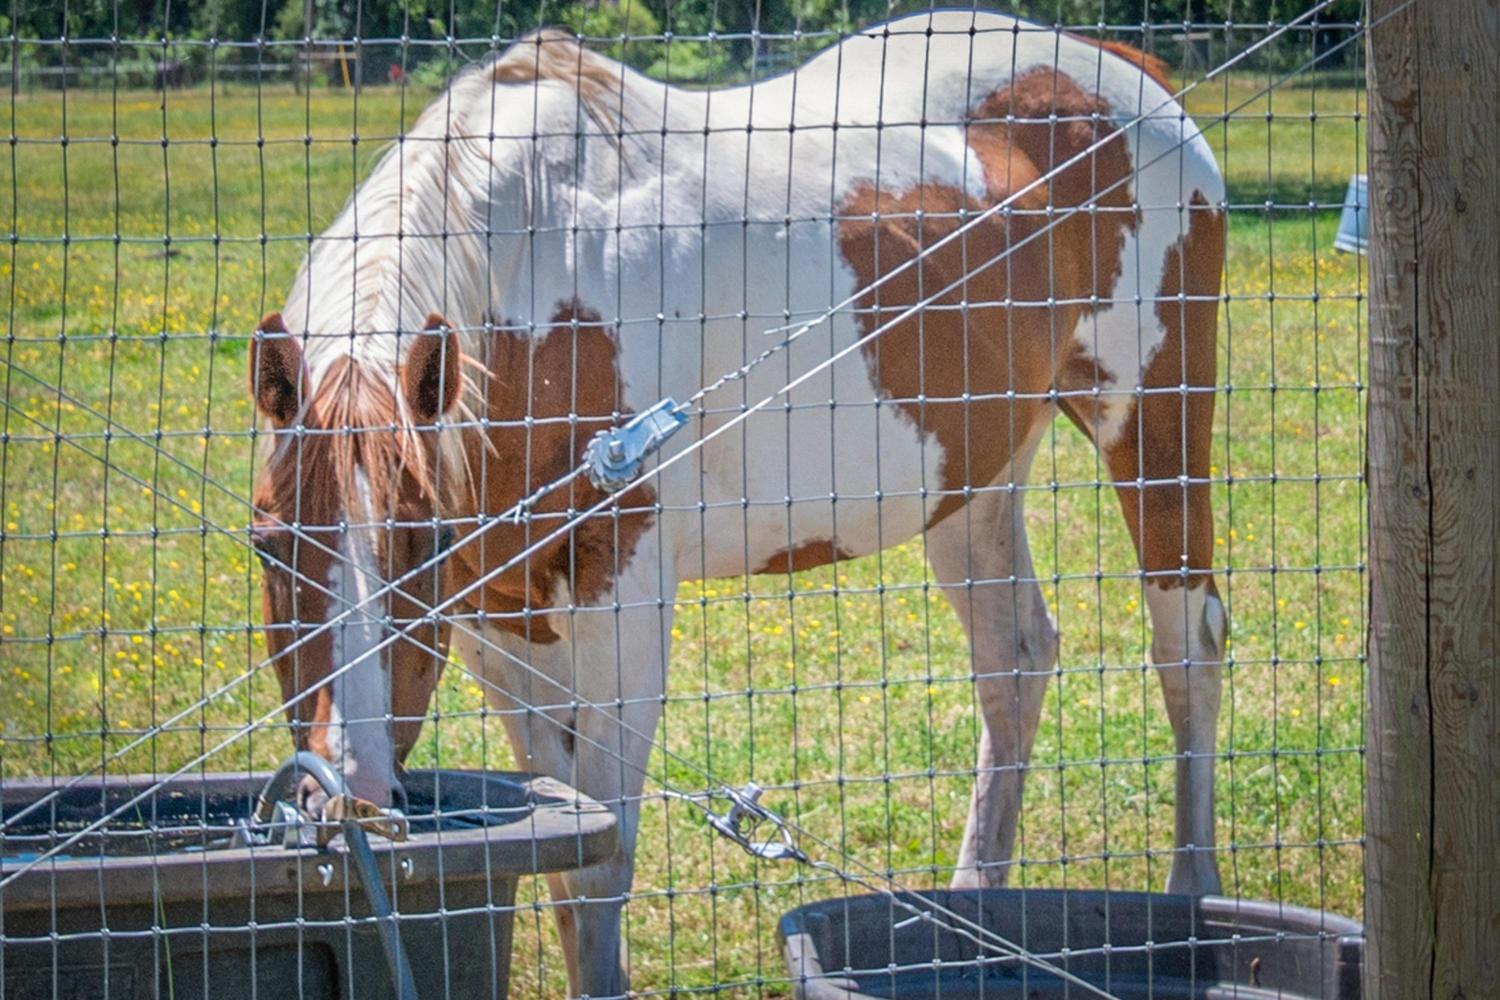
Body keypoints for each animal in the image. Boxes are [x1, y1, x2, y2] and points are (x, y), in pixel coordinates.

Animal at [252, 11, 1224, 995]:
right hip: (974, 475)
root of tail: (1122, 68)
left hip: (1154, 427)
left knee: (1188, 646)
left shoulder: (624, 606)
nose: (346, 796)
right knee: (1014, 661)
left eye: (425, 542)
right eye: (267, 546)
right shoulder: (501, 619)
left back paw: (1193, 902)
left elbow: (600, 863)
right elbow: (561, 855)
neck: (534, 267)